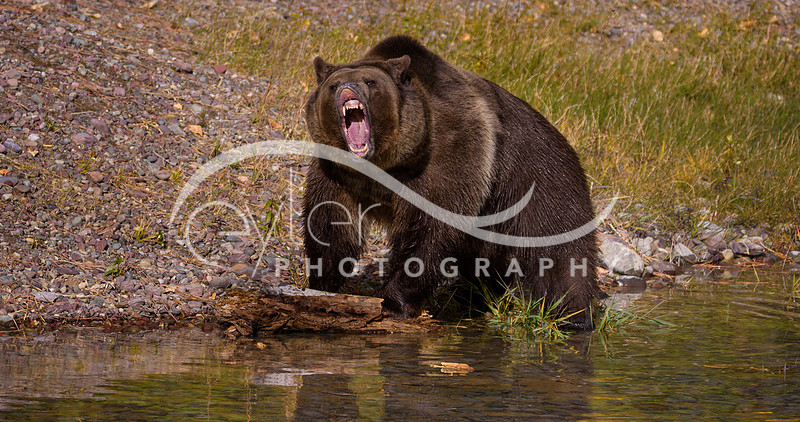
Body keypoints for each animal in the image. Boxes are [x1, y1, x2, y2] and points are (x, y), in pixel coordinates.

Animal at [302, 35, 598, 328]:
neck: (383, 163)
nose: (348, 88)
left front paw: (393, 301)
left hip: (542, 181)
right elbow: (331, 222)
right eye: (333, 85)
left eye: (370, 82)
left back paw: (571, 316)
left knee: (559, 257)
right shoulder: (338, 172)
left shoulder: (450, 154)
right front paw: (323, 282)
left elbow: (432, 229)